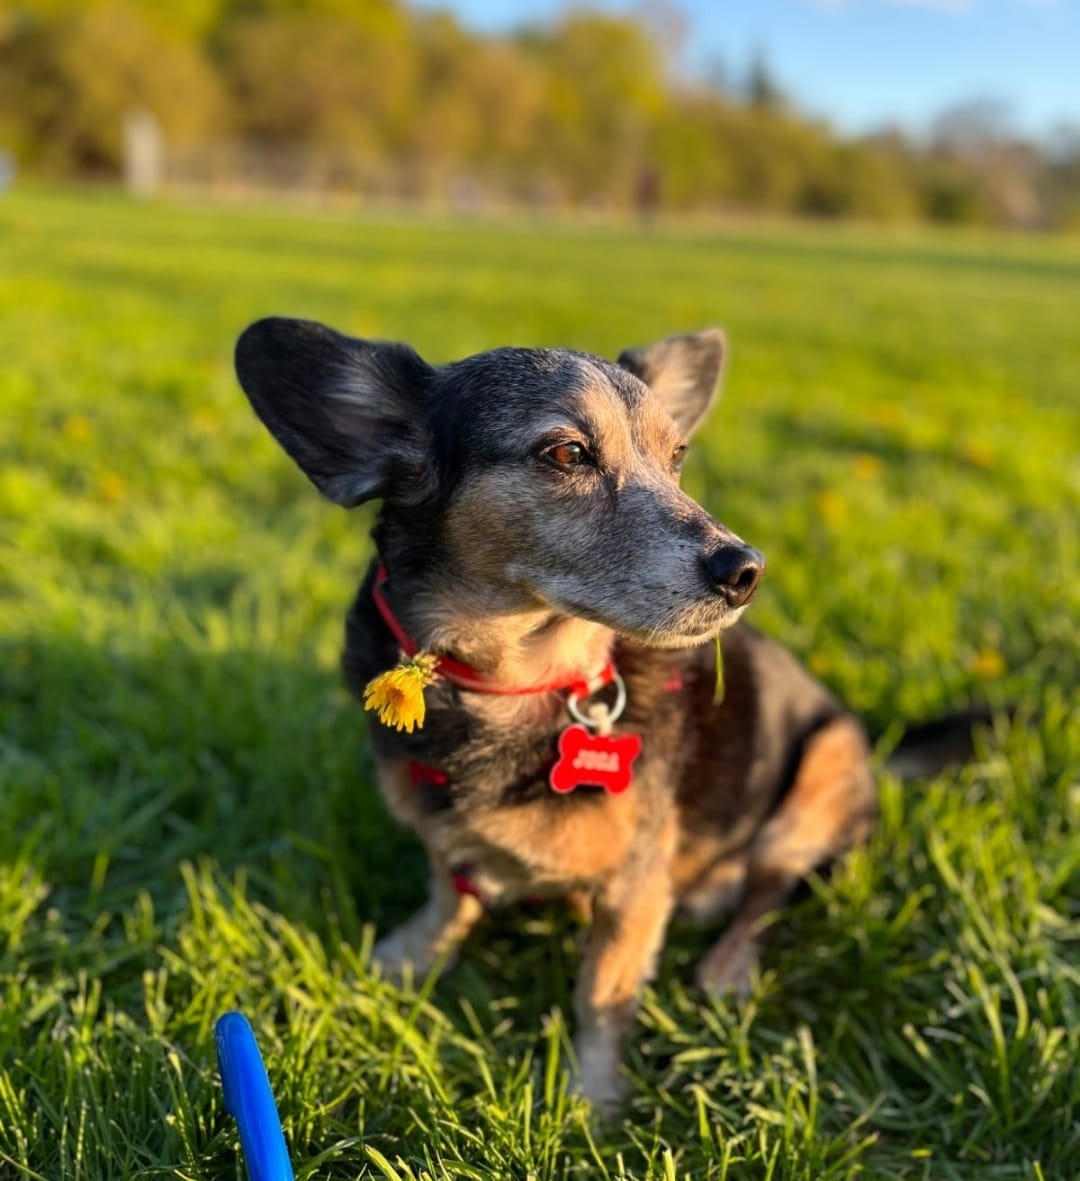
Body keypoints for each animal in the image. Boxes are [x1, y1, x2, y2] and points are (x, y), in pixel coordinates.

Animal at [233, 316, 874, 1105]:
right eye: (567, 452)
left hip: (824, 767)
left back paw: (727, 962)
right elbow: (448, 895)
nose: (746, 570)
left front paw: (592, 1100)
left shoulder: (633, 891)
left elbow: (601, 995)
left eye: (677, 458)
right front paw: (413, 955)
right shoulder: (446, 842)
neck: (514, 688)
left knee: (771, 889)